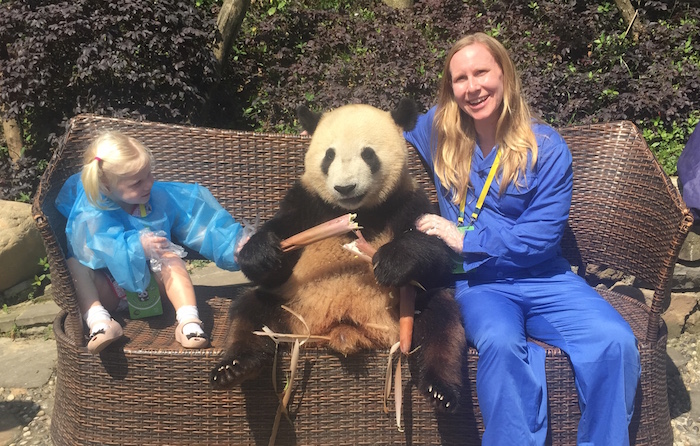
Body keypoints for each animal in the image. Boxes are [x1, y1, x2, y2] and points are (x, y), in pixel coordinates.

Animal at [211, 99, 468, 412]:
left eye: (368, 154)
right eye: (328, 156)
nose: (345, 188)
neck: (356, 211)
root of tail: (342, 332)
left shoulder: (407, 201)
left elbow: (438, 255)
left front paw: (391, 262)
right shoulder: (306, 204)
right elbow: (278, 246)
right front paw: (261, 253)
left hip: (401, 313)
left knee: (440, 320)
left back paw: (441, 391)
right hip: (289, 307)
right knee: (250, 312)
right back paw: (233, 368)